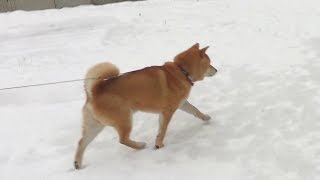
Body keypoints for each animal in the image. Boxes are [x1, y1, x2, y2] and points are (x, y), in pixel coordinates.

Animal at [74, 43, 218, 169]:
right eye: (209, 62)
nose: (216, 70)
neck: (181, 70)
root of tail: (95, 91)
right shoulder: (167, 111)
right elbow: (162, 131)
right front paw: (159, 145)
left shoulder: (182, 104)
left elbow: (195, 110)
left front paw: (205, 118)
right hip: (125, 119)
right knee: (123, 139)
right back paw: (140, 145)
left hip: (95, 126)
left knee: (81, 142)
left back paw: (77, 164)